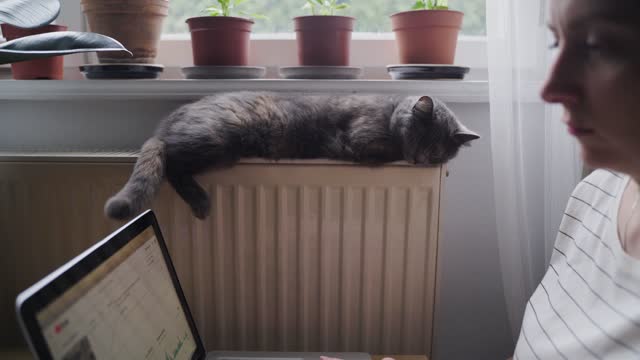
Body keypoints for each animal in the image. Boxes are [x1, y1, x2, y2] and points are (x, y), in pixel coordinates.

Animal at [106, 90, 480, 219]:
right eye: (418, 138)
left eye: (438, 152)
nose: (421, 161)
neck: (390, 112)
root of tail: (167, 121)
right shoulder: (362, 138)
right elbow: (379, 150)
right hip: (219, 140)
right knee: (171, 162)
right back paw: (200, 202)